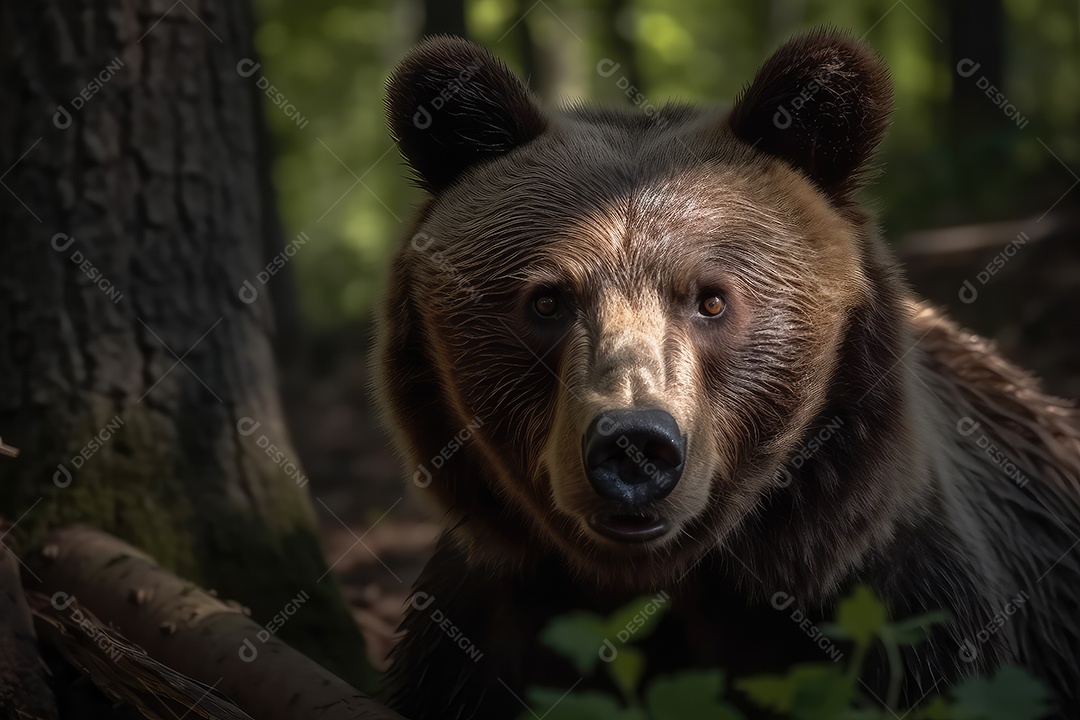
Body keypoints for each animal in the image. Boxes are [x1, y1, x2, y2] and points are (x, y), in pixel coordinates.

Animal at [375, 29, 1080, 719]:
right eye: (547, 301)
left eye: (711, 300)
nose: (633, 447)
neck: (668, 579)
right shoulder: (484, 625)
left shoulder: (902, 599)